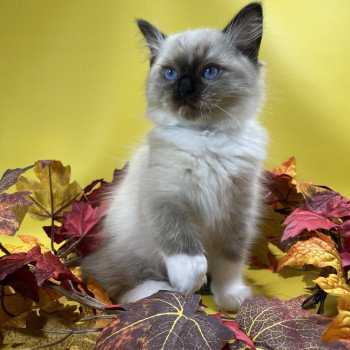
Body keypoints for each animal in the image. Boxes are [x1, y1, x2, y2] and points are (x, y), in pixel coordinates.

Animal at [82, 2, 268, 308]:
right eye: (170, 73)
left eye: (209, 72)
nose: (183, 87)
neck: (206, 137)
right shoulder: (167, 197)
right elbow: (185, 248)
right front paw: (190, 282)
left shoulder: (238, 210)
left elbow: (230, 262)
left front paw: (229, 297)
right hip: (136, 249)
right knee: (119, 283)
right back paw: (162, 293)